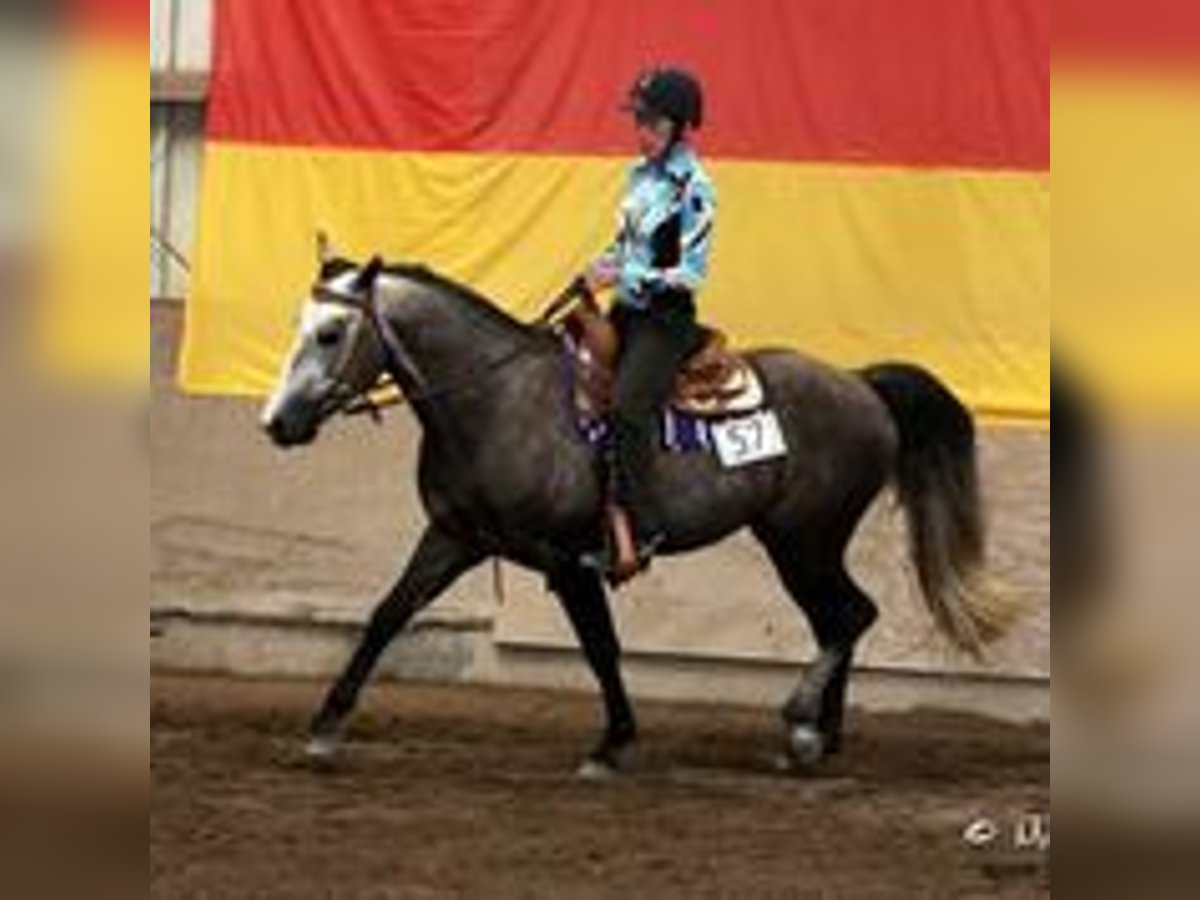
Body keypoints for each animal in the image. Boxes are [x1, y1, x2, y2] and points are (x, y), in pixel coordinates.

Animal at [262, 237, 1012, 777]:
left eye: (331, 333)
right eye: (299, 324)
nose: (277, 422)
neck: (498, 401)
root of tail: (861, 384)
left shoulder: (567, 559)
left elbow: (601, 647)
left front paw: (613, 743)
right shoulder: (454, 537)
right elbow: (387, 615)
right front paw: (325, 728)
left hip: (806, 539)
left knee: (851, 616)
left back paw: (801, 725)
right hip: (798, 543)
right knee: (839, 619)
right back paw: (818, 738)